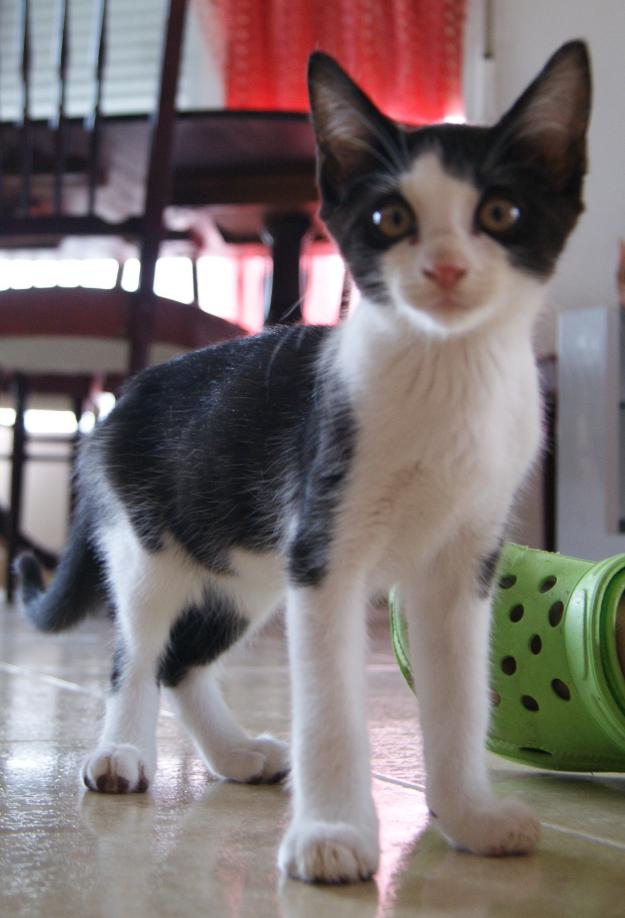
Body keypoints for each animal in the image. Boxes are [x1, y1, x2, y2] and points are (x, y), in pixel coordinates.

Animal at [15, 41, 588, 884]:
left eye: (499, 213)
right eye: (391, 218)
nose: (446, 269)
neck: (446, 377)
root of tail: (124, 398)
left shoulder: (461, 564)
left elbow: (458, 698)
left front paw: (468, 816)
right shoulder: (322, 553)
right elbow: (329, 706)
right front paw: (332, 836)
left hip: (242, 565)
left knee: (181, 662)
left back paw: (231, 754)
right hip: (148, 544)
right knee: (138, 650)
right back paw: (120, 751)